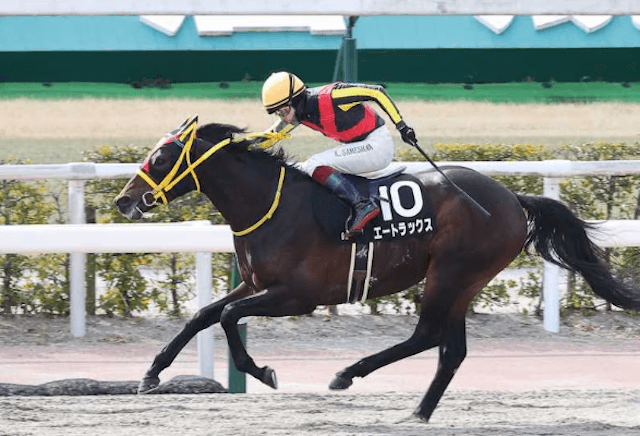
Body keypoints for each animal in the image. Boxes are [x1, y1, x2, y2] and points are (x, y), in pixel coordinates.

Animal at [115, 115, 640, 422]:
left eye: (160, 157)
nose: (123, 200)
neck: (270, 206)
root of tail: (513, 198)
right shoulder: (254, 283)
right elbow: (203, 315)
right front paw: (151, 374)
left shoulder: (297, 297)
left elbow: (226, 318)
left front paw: (263, 371)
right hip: (463, 281)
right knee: (450, 349)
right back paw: (418, 412)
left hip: (452, 272)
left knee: (428, 335)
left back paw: (349, 373)